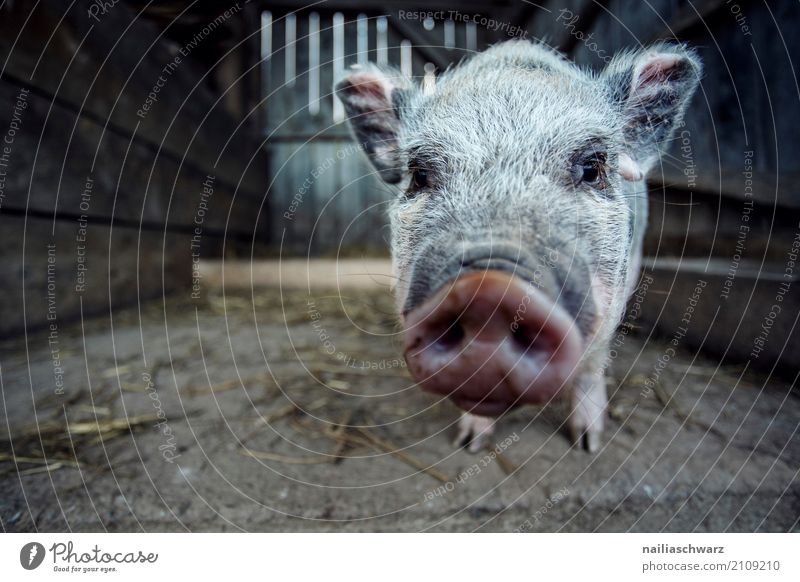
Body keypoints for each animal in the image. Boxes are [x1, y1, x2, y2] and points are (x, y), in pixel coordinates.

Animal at [336, 40, 700, 456]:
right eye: (419, 174)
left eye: (592, 168)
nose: (488, 293)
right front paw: (470, 445)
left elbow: (591, 364)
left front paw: (588, 444)